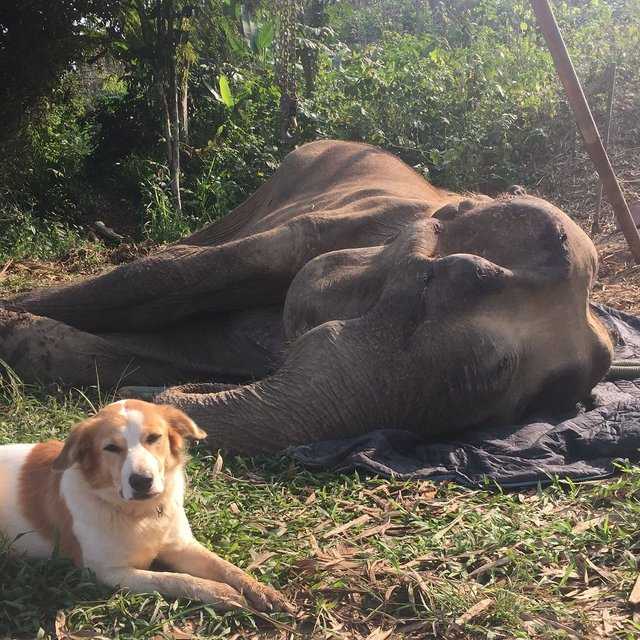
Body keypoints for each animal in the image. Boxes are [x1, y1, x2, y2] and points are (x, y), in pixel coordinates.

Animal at [0, 139, 612, 456]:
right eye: (432, 285)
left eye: (521, 407)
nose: (153, 403)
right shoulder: (332, 226)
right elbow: (165, 278)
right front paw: (13, 318)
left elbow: (178, 346)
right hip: (280, 180)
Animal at [0, 398, 290, 612]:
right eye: (111, 447)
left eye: (153, 438)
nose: (141, 481)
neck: (142, 515)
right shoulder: (107, 572)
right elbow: (172, 579)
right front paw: (220, 593)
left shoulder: (182, 545)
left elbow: (225, 567)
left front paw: (261, 590)